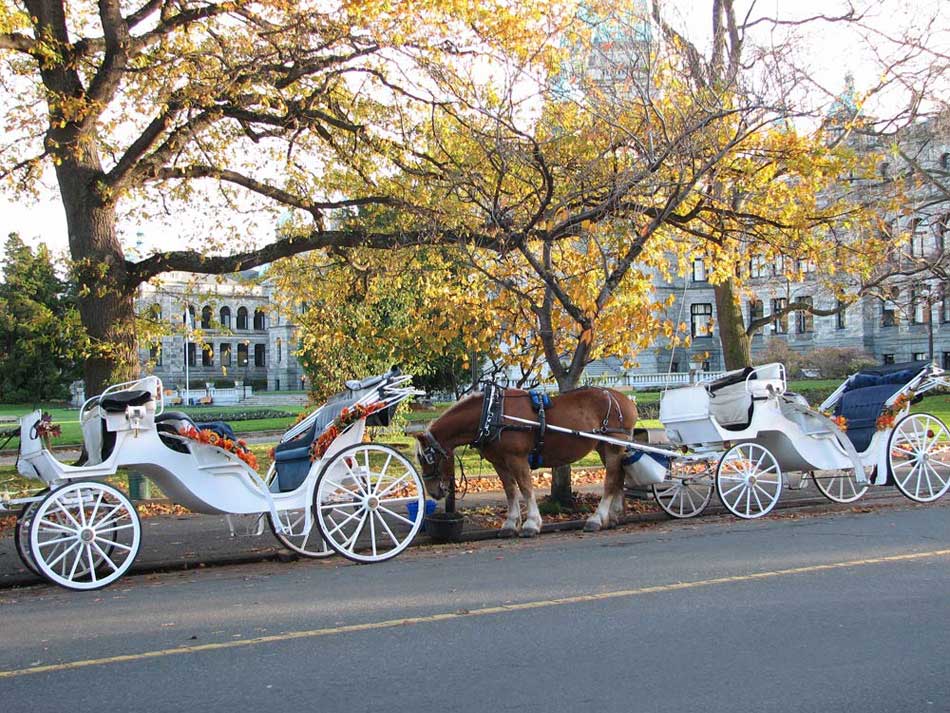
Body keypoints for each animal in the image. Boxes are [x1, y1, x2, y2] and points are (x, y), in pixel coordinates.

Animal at [416, 390, 640, 536]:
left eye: (428, 457)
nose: (433, 491)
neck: (492, 413)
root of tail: (625, 401)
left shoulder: (517, 458)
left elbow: (525, 488)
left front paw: (531, 523)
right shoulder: (499, 462)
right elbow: (510, 490)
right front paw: (510, 523)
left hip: (613, 445)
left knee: (611, 480)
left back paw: (597, 518)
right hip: (605, 447)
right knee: (618, 475)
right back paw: (613, 516)